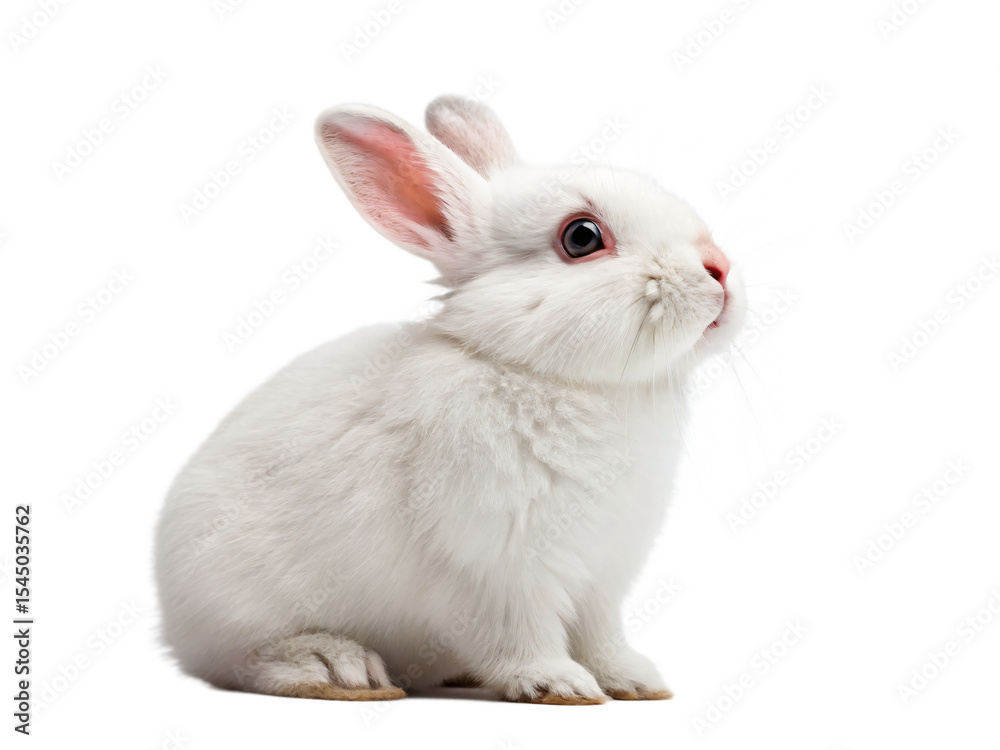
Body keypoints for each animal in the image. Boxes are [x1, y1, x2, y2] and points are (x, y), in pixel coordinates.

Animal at [154, 94, 745, 705]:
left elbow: (600, 635)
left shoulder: (603, 571)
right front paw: (558, 684)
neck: (546, 375)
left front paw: (634, 680)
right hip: (238, 609)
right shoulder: (499, 566)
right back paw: (336, 667)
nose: (720, 269)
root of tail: (172, 619)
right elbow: (522, 634)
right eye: (582, 238)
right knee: (244, 662)